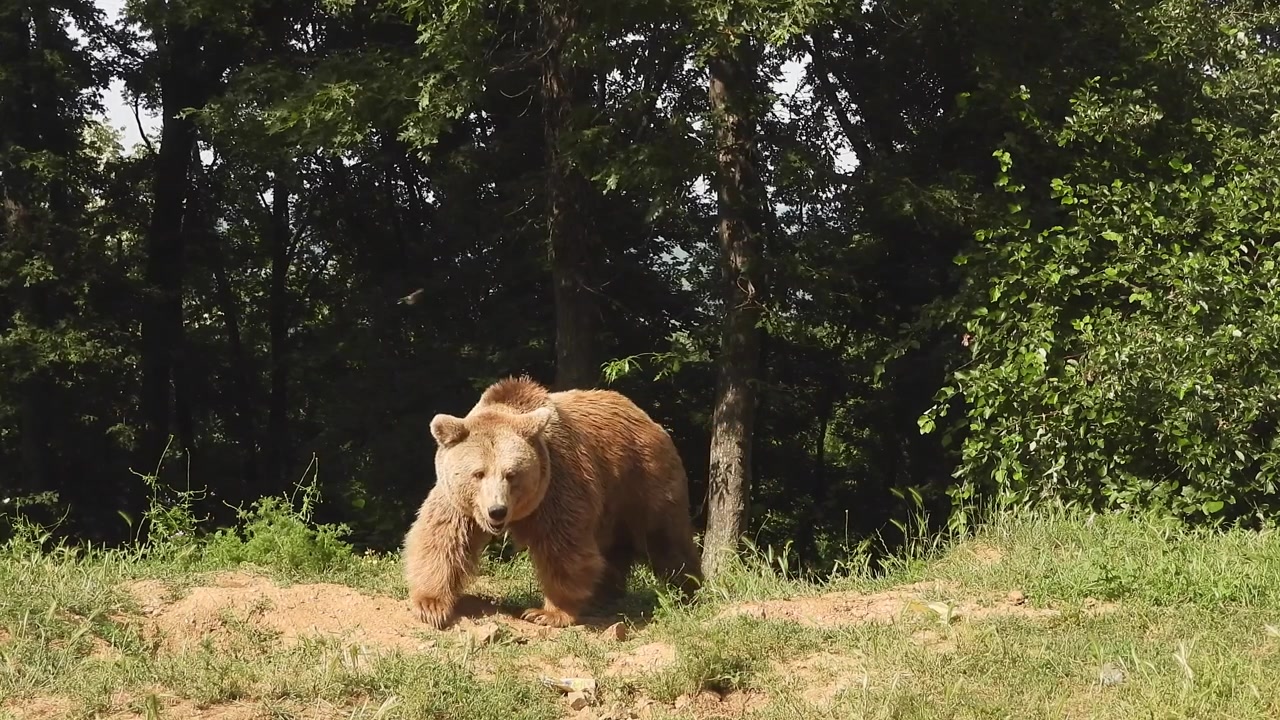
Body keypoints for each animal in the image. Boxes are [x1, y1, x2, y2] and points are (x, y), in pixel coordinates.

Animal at [402, 375, 703, 629]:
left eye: (511, 474)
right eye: (478, 473)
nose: (497, 511)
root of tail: (648, 418)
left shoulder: (557, 484)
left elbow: (563, 548)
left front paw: (548, 612)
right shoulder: (458, 500)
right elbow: (442, 536)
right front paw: (431, 606)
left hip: (642, 480)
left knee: (666, 540)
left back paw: (687, 590)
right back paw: (605, 594)